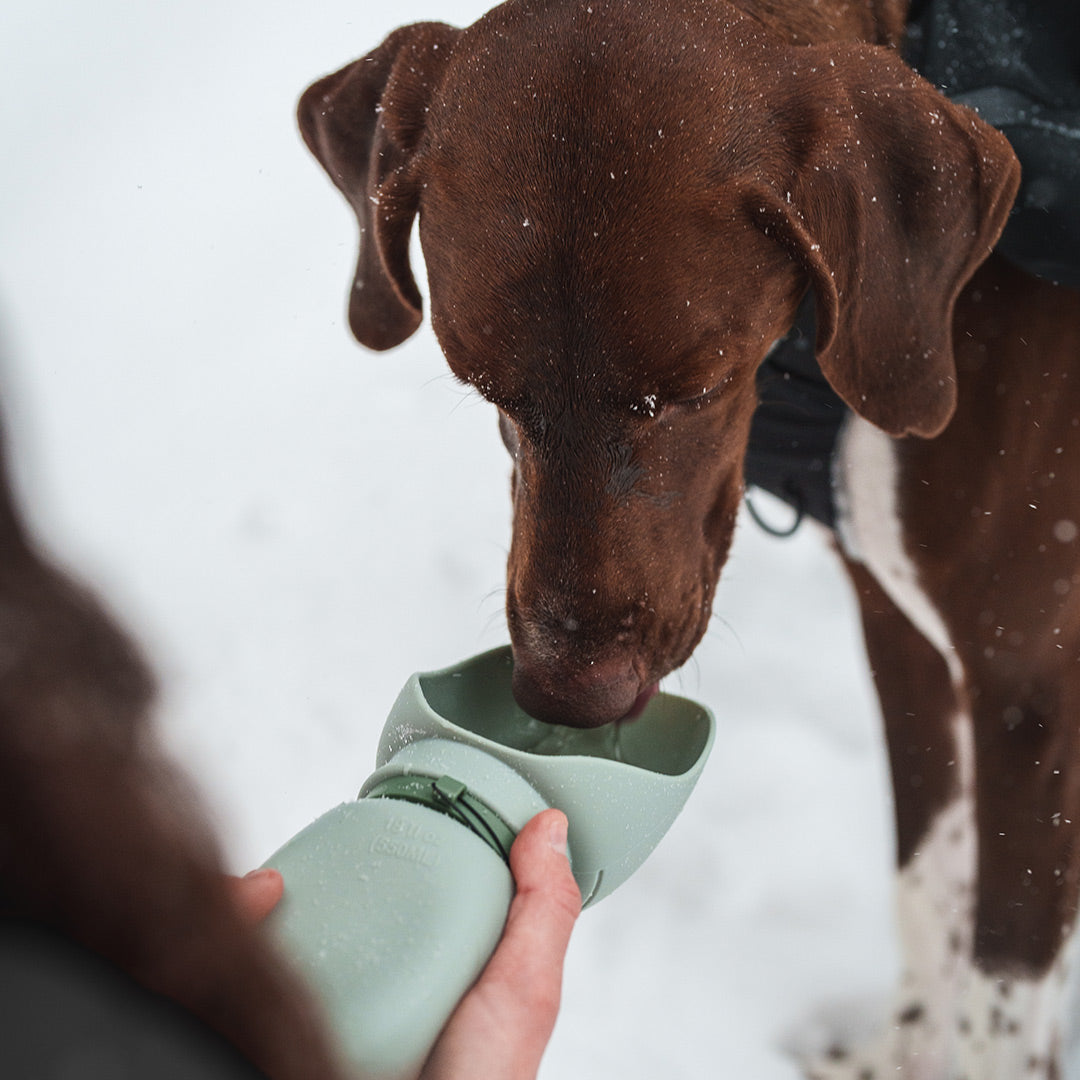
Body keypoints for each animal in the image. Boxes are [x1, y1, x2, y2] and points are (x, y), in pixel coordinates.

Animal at [300, 0, 1080, 1075]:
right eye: (484, 387)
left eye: (695, 388)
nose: (567, 697)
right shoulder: (899, 629)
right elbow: (925, 886)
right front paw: (897, 1053)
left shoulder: (1028, 688)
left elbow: (996, 1012)